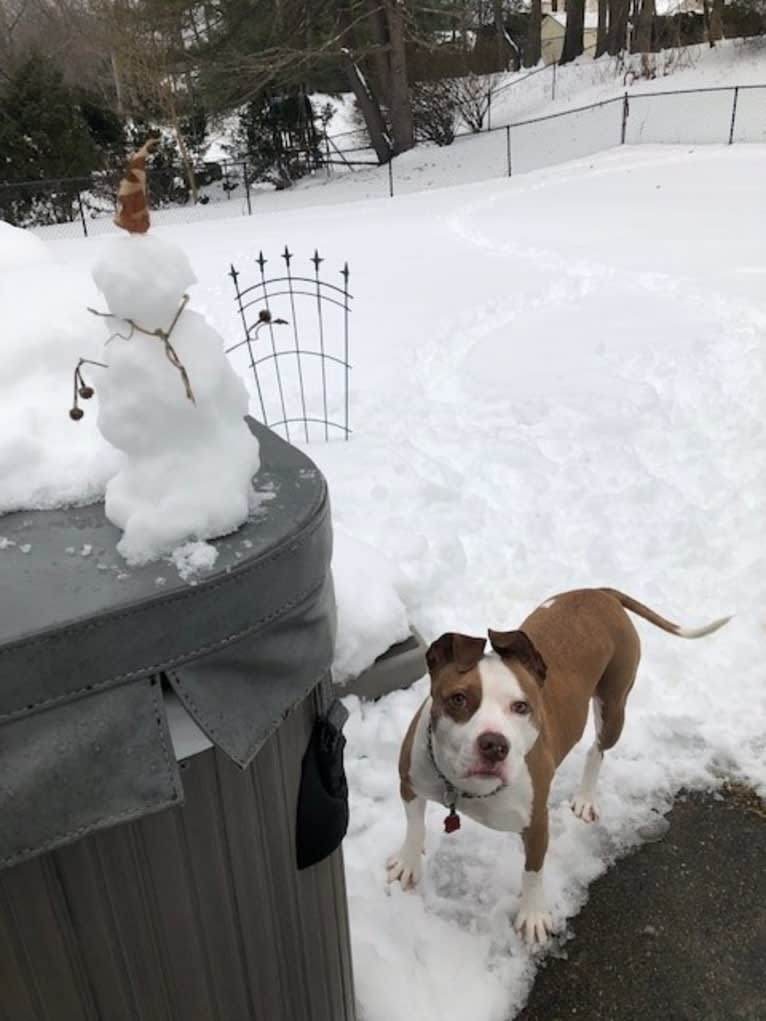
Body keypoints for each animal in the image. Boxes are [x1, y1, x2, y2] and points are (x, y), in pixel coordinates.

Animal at [390, 588, 731, 943]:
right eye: (458, 699)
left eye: (521, 706)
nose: (495, 745)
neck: (465, 789)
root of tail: (600, 591)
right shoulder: (409, 783)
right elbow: (414, 826)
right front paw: (408, 863)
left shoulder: (537, 823)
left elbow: (533, 871)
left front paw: (533, 916)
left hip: (614, 706)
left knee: (597, 750)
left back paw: (585, 798)